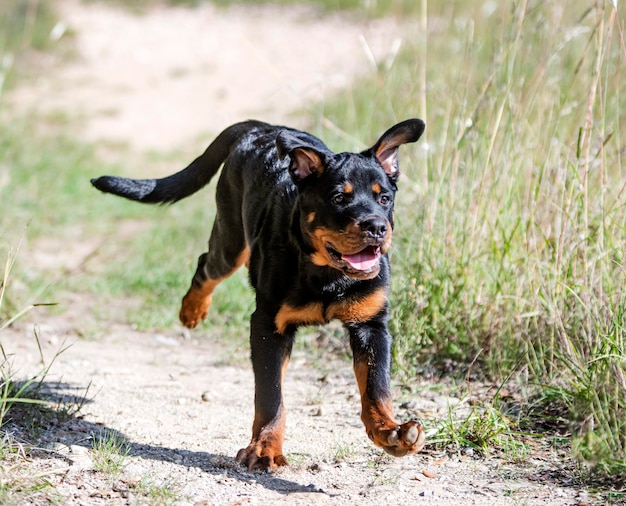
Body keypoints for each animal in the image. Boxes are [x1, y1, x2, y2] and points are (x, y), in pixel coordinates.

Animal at [91, 118, 424, 470]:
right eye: (337, 198)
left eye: (384, 198)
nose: (376, 227)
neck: (326, 273)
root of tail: (260, 126)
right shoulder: (267, 325)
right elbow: (270, 395)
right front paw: (264, 448)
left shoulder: (371, 325)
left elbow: (377, 387)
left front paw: (390, 432)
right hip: (230, 240)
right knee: (207, 265)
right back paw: (191, 311)